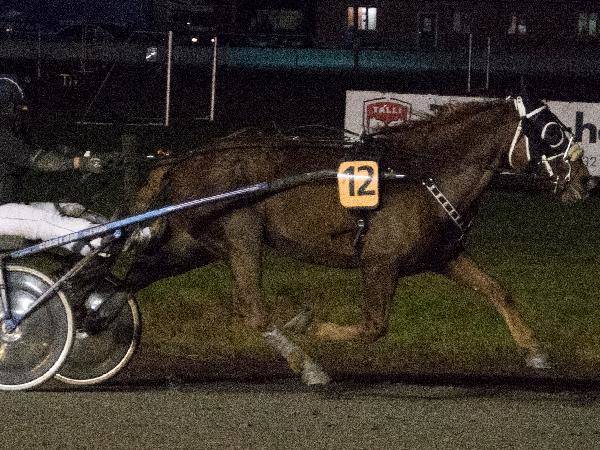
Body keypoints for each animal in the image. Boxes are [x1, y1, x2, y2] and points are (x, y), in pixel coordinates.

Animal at [123, 94, 592, 383]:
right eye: (552, 131)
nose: (586, 180)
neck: (420, 174)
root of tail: (182, 160)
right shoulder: (379, 262)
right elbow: (373, 327)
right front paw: (306, 325)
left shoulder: (443, 256)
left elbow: (498, 290)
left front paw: (535, 351)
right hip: (241, 234)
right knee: (254, 312)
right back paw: (307, 364)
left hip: (192, 245)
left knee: (131, 278)